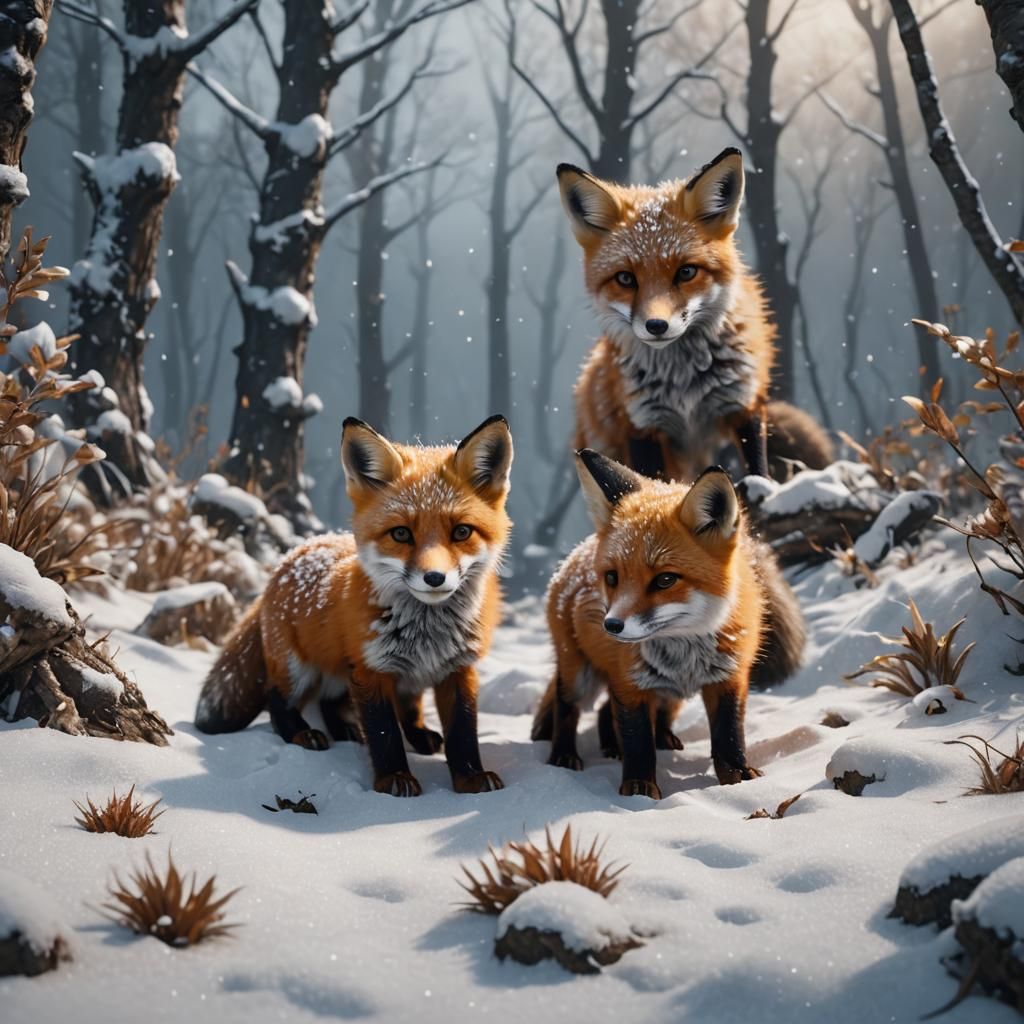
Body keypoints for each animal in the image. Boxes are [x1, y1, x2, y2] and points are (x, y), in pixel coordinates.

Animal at [194, 415, 514, 798]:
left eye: (462, 532)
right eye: (401, 534)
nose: (435, 578)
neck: (428, 631)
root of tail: (291, 557)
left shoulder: (459, 668)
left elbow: (463, 731)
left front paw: (470, 780)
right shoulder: (371, 669)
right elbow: (384, 733)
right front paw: (394, 780)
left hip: (364, 674)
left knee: (350, 704)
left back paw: (394, 734)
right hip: (299, 668)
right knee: (277, 699)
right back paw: (303, 733)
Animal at [533, 450, 803, 799]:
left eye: (664, 580)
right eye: (612, 577)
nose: (612, 626)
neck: (685, 647)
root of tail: (575, 555)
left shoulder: (730, 677)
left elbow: (729, 734)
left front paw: (738, 777)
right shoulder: (629, 682)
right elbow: (637, 741)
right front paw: (638, 790)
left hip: (663, 693)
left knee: (610, 711)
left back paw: (642, 742)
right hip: (578, 671)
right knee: (568, 708)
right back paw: (564, 756)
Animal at [557, 147, 833, 483]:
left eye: (686, 272)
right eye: (625, 279)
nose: (656, 325)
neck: (683, 383)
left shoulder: (742, 406)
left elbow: (757, 471)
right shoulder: (641, 426)